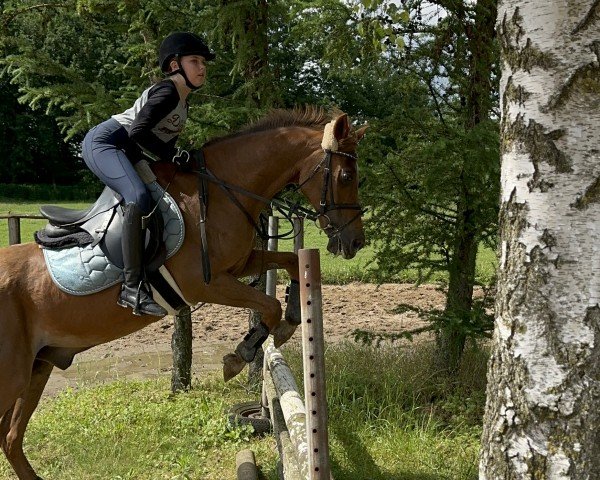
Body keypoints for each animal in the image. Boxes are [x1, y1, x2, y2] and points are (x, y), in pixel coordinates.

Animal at [0, 108, 368, 480]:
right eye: (347, 175)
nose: (355, 242)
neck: (220, 192)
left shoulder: (240, 264)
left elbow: (290, 264)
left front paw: (289, 321)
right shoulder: (205, 282)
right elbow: (268, 303)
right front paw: (241, 354)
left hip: (38, 367)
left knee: (11, 437)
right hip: (13, 376)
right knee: (9, 435)